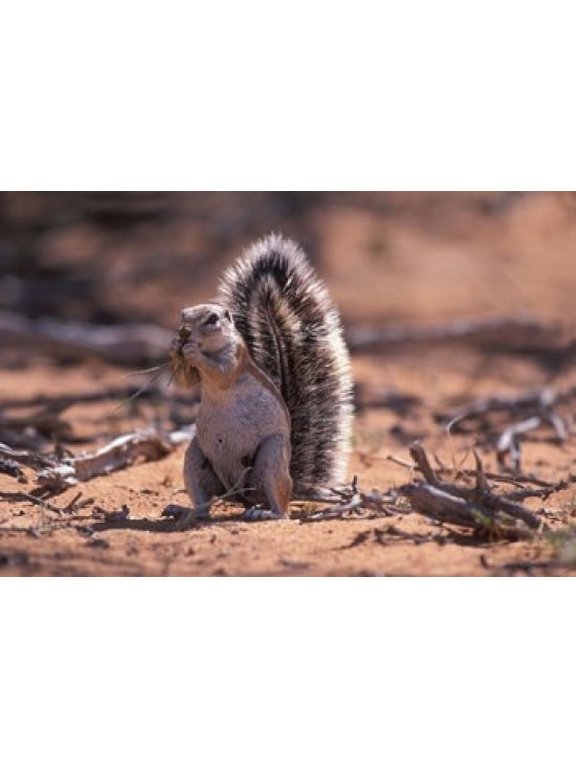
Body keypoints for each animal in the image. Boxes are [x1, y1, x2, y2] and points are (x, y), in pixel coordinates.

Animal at [169, 233, 353, 521]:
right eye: (183, 314)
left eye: (212, 319)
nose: (184, 332)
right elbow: (186, 382)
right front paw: (176, 346)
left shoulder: (235, 360)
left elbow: (221, 373)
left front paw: (191, 351)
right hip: (195, 456)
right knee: (204, 503)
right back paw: (186, 512)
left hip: (271, 455)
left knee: (282, 509)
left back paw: (266, 513)